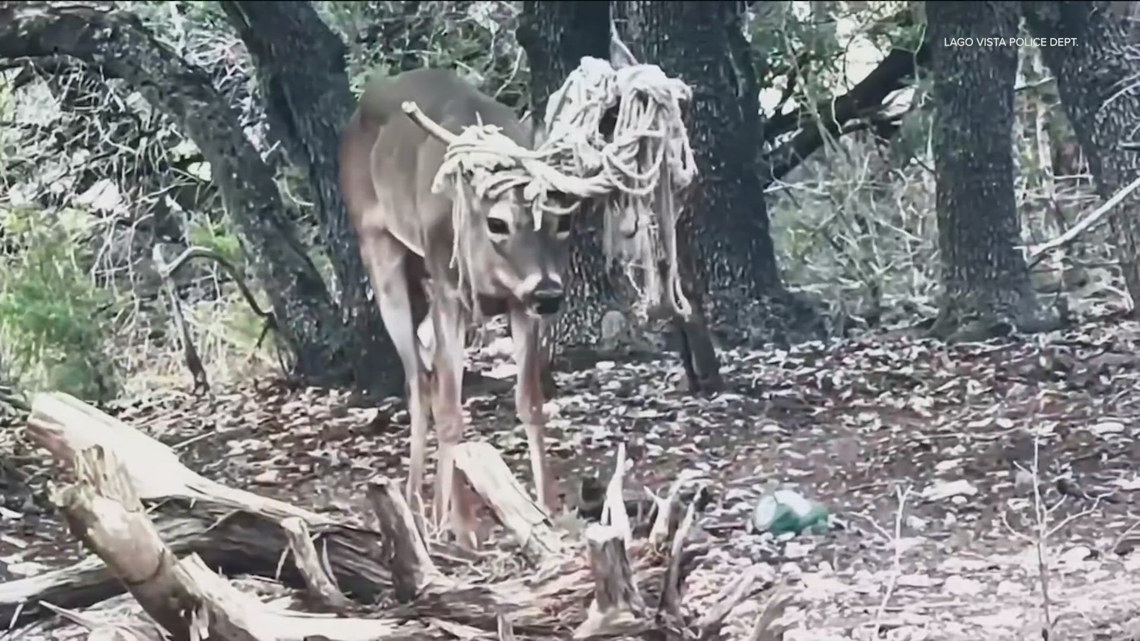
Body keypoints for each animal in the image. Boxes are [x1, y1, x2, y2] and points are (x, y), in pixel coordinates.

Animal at [338, 68, 571, 543]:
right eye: (497, 222)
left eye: (561, 219)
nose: (548, 294)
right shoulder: (449, 290)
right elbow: (450, 410)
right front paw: (463, 531)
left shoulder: (517, 304)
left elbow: (530, 401)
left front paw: (548, 509)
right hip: (380, 248)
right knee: (418, 380)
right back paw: (417, 505)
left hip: (419, 275)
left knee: (428, 366)